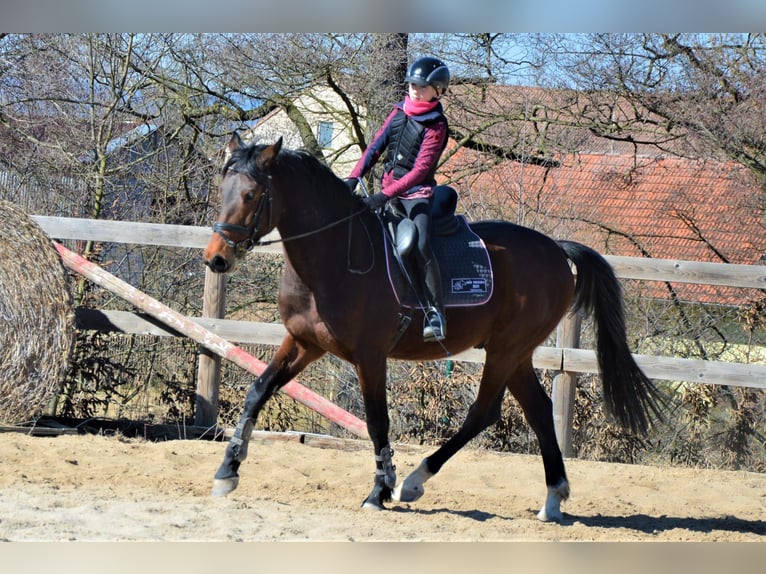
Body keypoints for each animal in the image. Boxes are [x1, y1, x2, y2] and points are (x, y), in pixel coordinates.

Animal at [204, 134, 664, 520]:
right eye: (221, 191)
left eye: (251, 195)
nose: (216, 259)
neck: (333, 257)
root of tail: (555, 248)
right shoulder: (304, 342)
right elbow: (258, 391)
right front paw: (227, 471)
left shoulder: (369, 356)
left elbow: (377, 421)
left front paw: (380, 490)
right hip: (516, 353)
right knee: (537, 410)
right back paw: (552, 499)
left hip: (506, 350)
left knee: (483, 412)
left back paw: (413, 482)